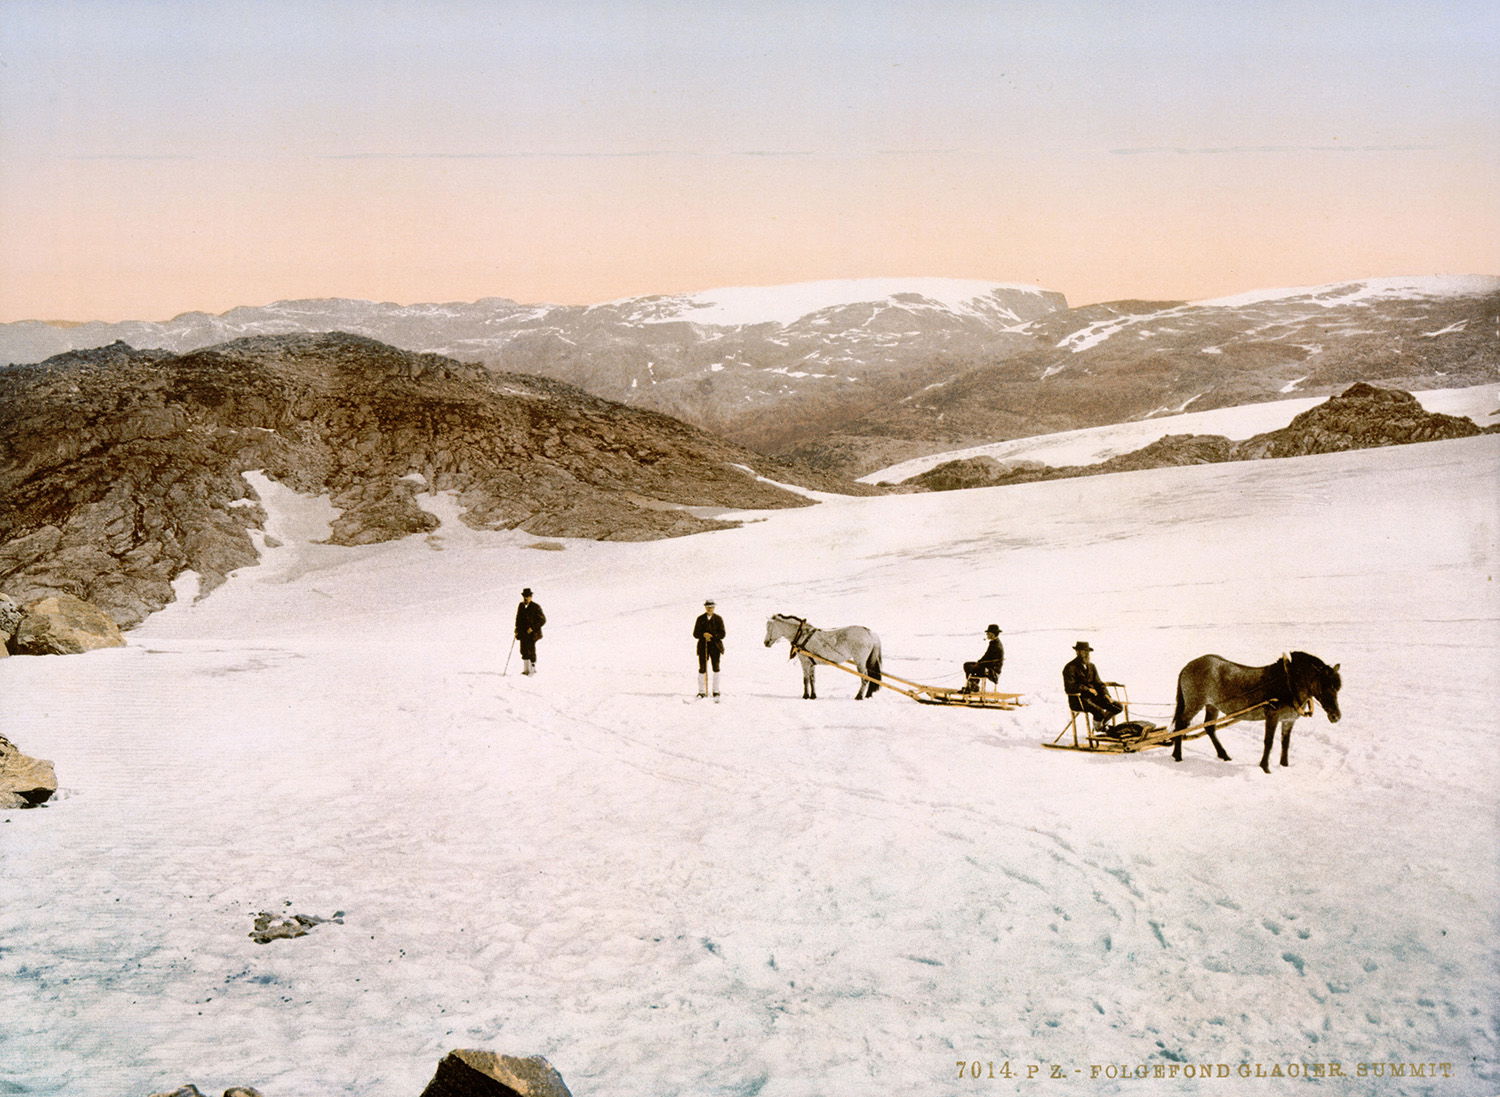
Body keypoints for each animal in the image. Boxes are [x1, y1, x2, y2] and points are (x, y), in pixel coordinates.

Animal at [1164, 651, 1344, 774]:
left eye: (1337, 687)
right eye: (1323, 686)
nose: (1336, 716)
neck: (1288, 683)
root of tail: (1188, 666)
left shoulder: (1288, 720)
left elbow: (1285, 743)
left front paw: (1284, 766)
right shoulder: (1272, 716)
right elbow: (1269, 742)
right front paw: (1265, 768)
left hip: (1212, 705)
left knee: (1209, 728)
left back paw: (1223, 755)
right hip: (1195, 704)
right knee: (1181, 725)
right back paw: (1178, 756)